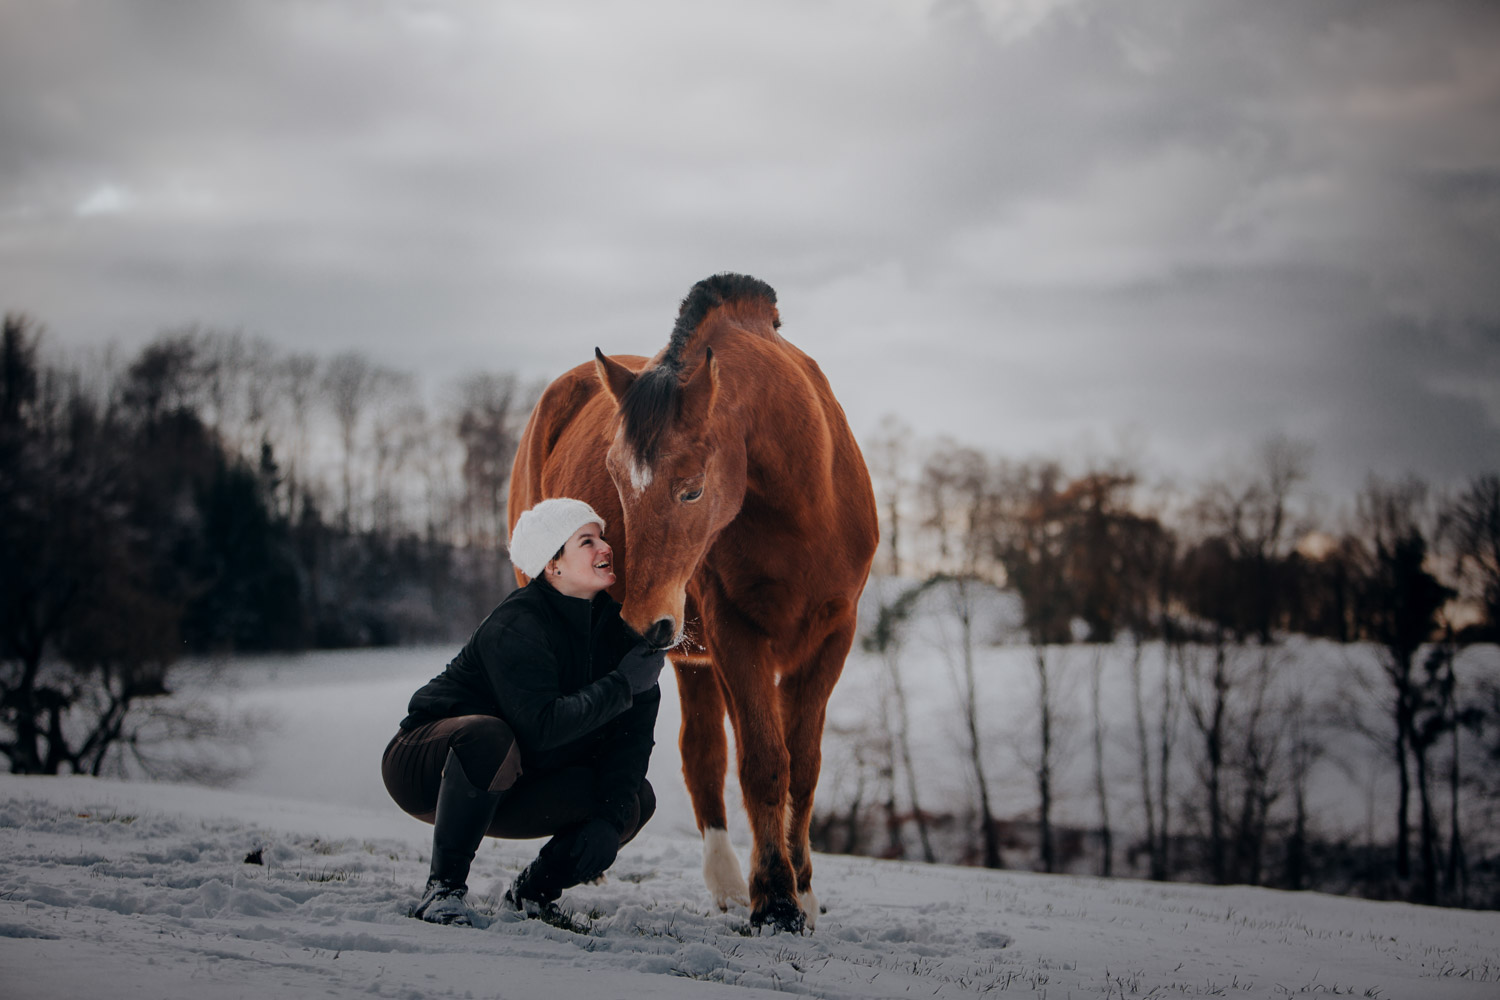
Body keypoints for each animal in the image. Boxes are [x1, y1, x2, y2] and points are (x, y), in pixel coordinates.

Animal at [510, 271, 876, 929]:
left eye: (693, 490)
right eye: (616, 478)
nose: (638, 623)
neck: (806, 506)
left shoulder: (833, 637)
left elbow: (803, 769)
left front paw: (802, 893)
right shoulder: (736, 634)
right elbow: (764, 762)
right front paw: (775, 901)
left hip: (689, 657)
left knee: (702, 755)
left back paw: (727, 885)